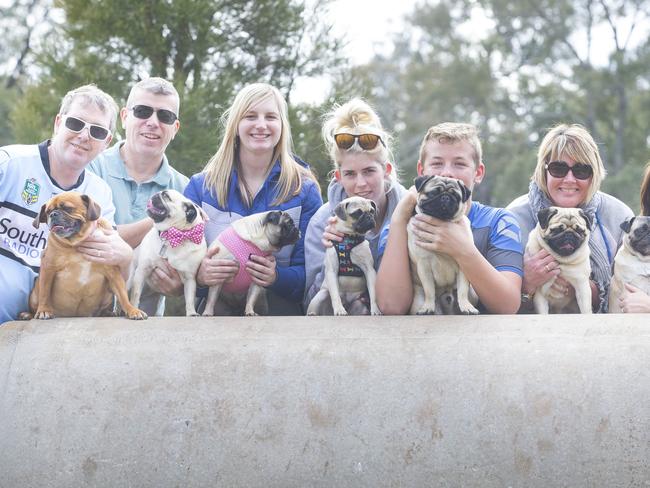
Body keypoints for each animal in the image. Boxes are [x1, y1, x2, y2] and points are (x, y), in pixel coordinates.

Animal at [20, 193, 147, 322]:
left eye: (67, 208)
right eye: (47, 212)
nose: (53, 214)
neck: (77, 243)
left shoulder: (113, 274)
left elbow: (123, 295)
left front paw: (132, 310)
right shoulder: (48, 269)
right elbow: (45, 294)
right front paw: (44, 310)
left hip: (108, 295)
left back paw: (107, 313)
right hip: (34, 295)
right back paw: (27, 314)